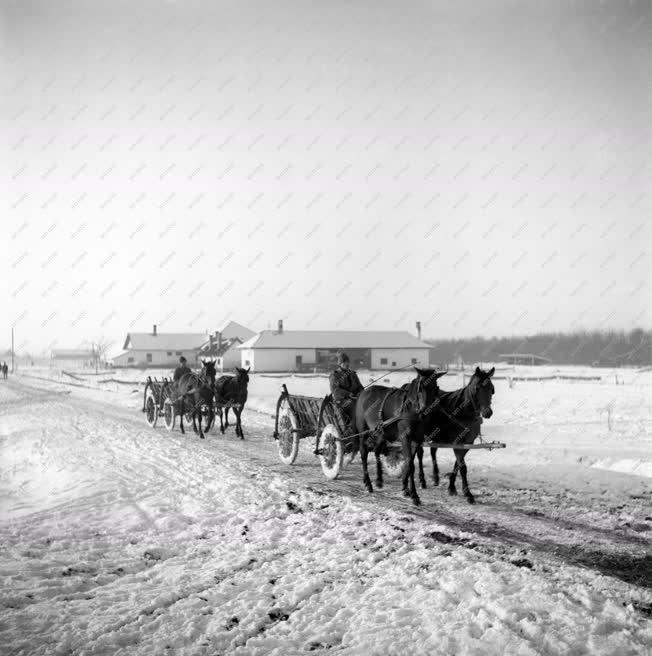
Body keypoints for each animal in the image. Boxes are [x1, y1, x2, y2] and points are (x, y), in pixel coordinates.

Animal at [354, 368, 450, 508]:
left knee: (377, 450)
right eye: (420, 388)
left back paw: (379, 480)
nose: (425, 411)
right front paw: (414, 495)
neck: (412, 409)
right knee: (363, 452)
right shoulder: (405, 437)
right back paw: (368, 483)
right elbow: (410, 464)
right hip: (363, 430)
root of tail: (364, 392)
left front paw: (405, 488)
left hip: (380, 432)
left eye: (435, 388)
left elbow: (409, 461)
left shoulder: (417, 440)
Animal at [420, 366, 496, 504]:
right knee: (418, 454)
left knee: (433, 451)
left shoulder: (466, 443)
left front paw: (451, 487)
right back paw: (422, 480)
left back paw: (435, 477)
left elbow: (457, 464)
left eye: (491, 388)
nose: (488, 412)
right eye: (477, 388)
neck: (463, 413)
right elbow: (463, 467)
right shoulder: (457, 442)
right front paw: (468, 494)